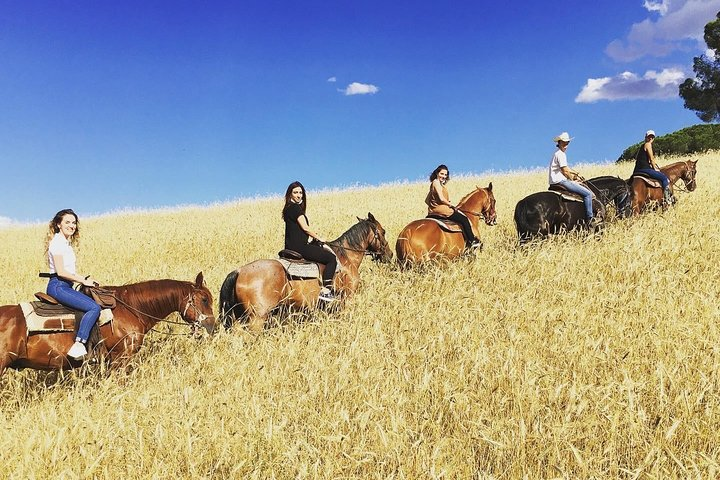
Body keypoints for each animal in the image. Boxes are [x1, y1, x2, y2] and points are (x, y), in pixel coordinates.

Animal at [218, 212, 390, 332]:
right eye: (383, 232)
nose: (389, 255)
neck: (345, 256)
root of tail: (239, 271)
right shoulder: (348, 297)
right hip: (257, 318)